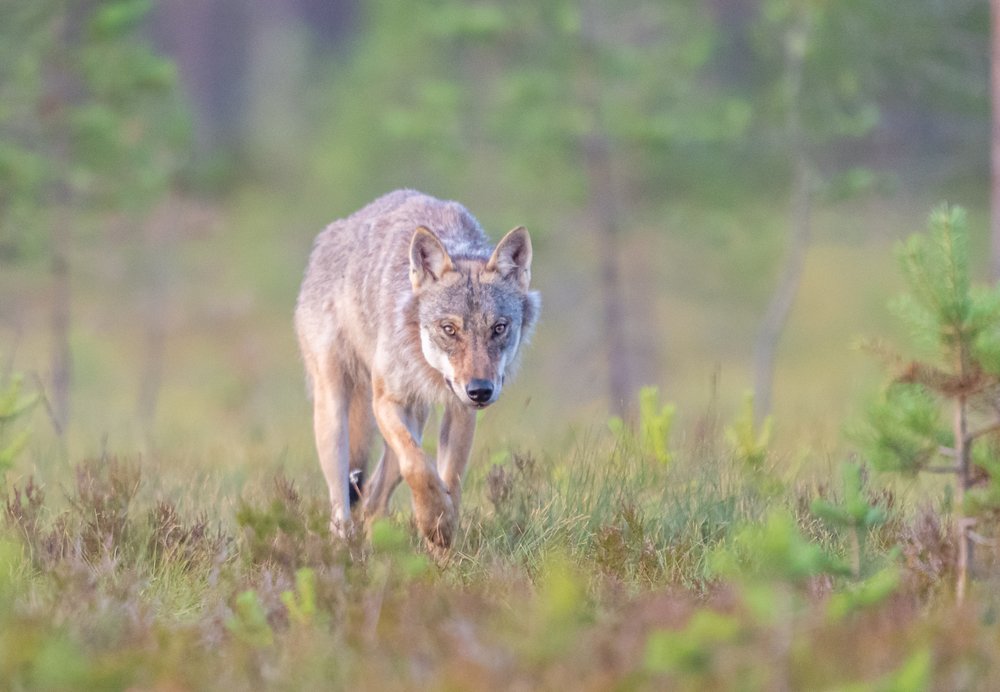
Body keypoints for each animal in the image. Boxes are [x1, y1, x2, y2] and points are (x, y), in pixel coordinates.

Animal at [295, 190, 540, 553]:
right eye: (449, 329)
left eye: (499, 328)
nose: (480, 390)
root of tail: (332, 233)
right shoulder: (386, 401)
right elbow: (419, 466)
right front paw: (435, 521)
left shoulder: (460, 410)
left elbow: (448, 479)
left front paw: (442, 544)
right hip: (334, 414)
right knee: (342, 503)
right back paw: (343, 549)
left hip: (416, 418)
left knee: (373, 498)